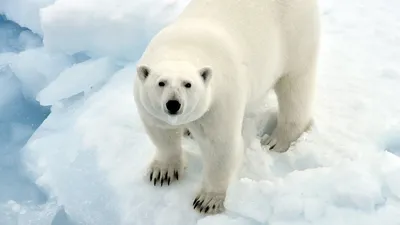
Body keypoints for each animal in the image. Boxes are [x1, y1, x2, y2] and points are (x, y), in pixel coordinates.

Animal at [133, 0, 320, 214]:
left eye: (188, 84)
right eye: (161, 83)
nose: (173, 104)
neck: (183, 46)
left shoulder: (219, 100)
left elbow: (220, 146)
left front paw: (207, 201)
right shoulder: (149, 108)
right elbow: (161, 133)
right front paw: (162, 172)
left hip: (294, 38)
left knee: (295, 87)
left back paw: (278, 140)